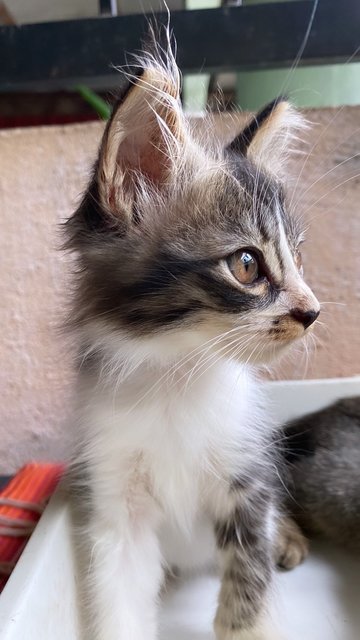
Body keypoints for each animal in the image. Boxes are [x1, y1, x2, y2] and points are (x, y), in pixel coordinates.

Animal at [66, 35, 320, 640]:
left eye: (298, 259)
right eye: (248, 265)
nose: (314, 311)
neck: (177, 376)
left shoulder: (249, 482)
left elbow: (248, 592)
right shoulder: (116, 507)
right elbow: (118, 604)